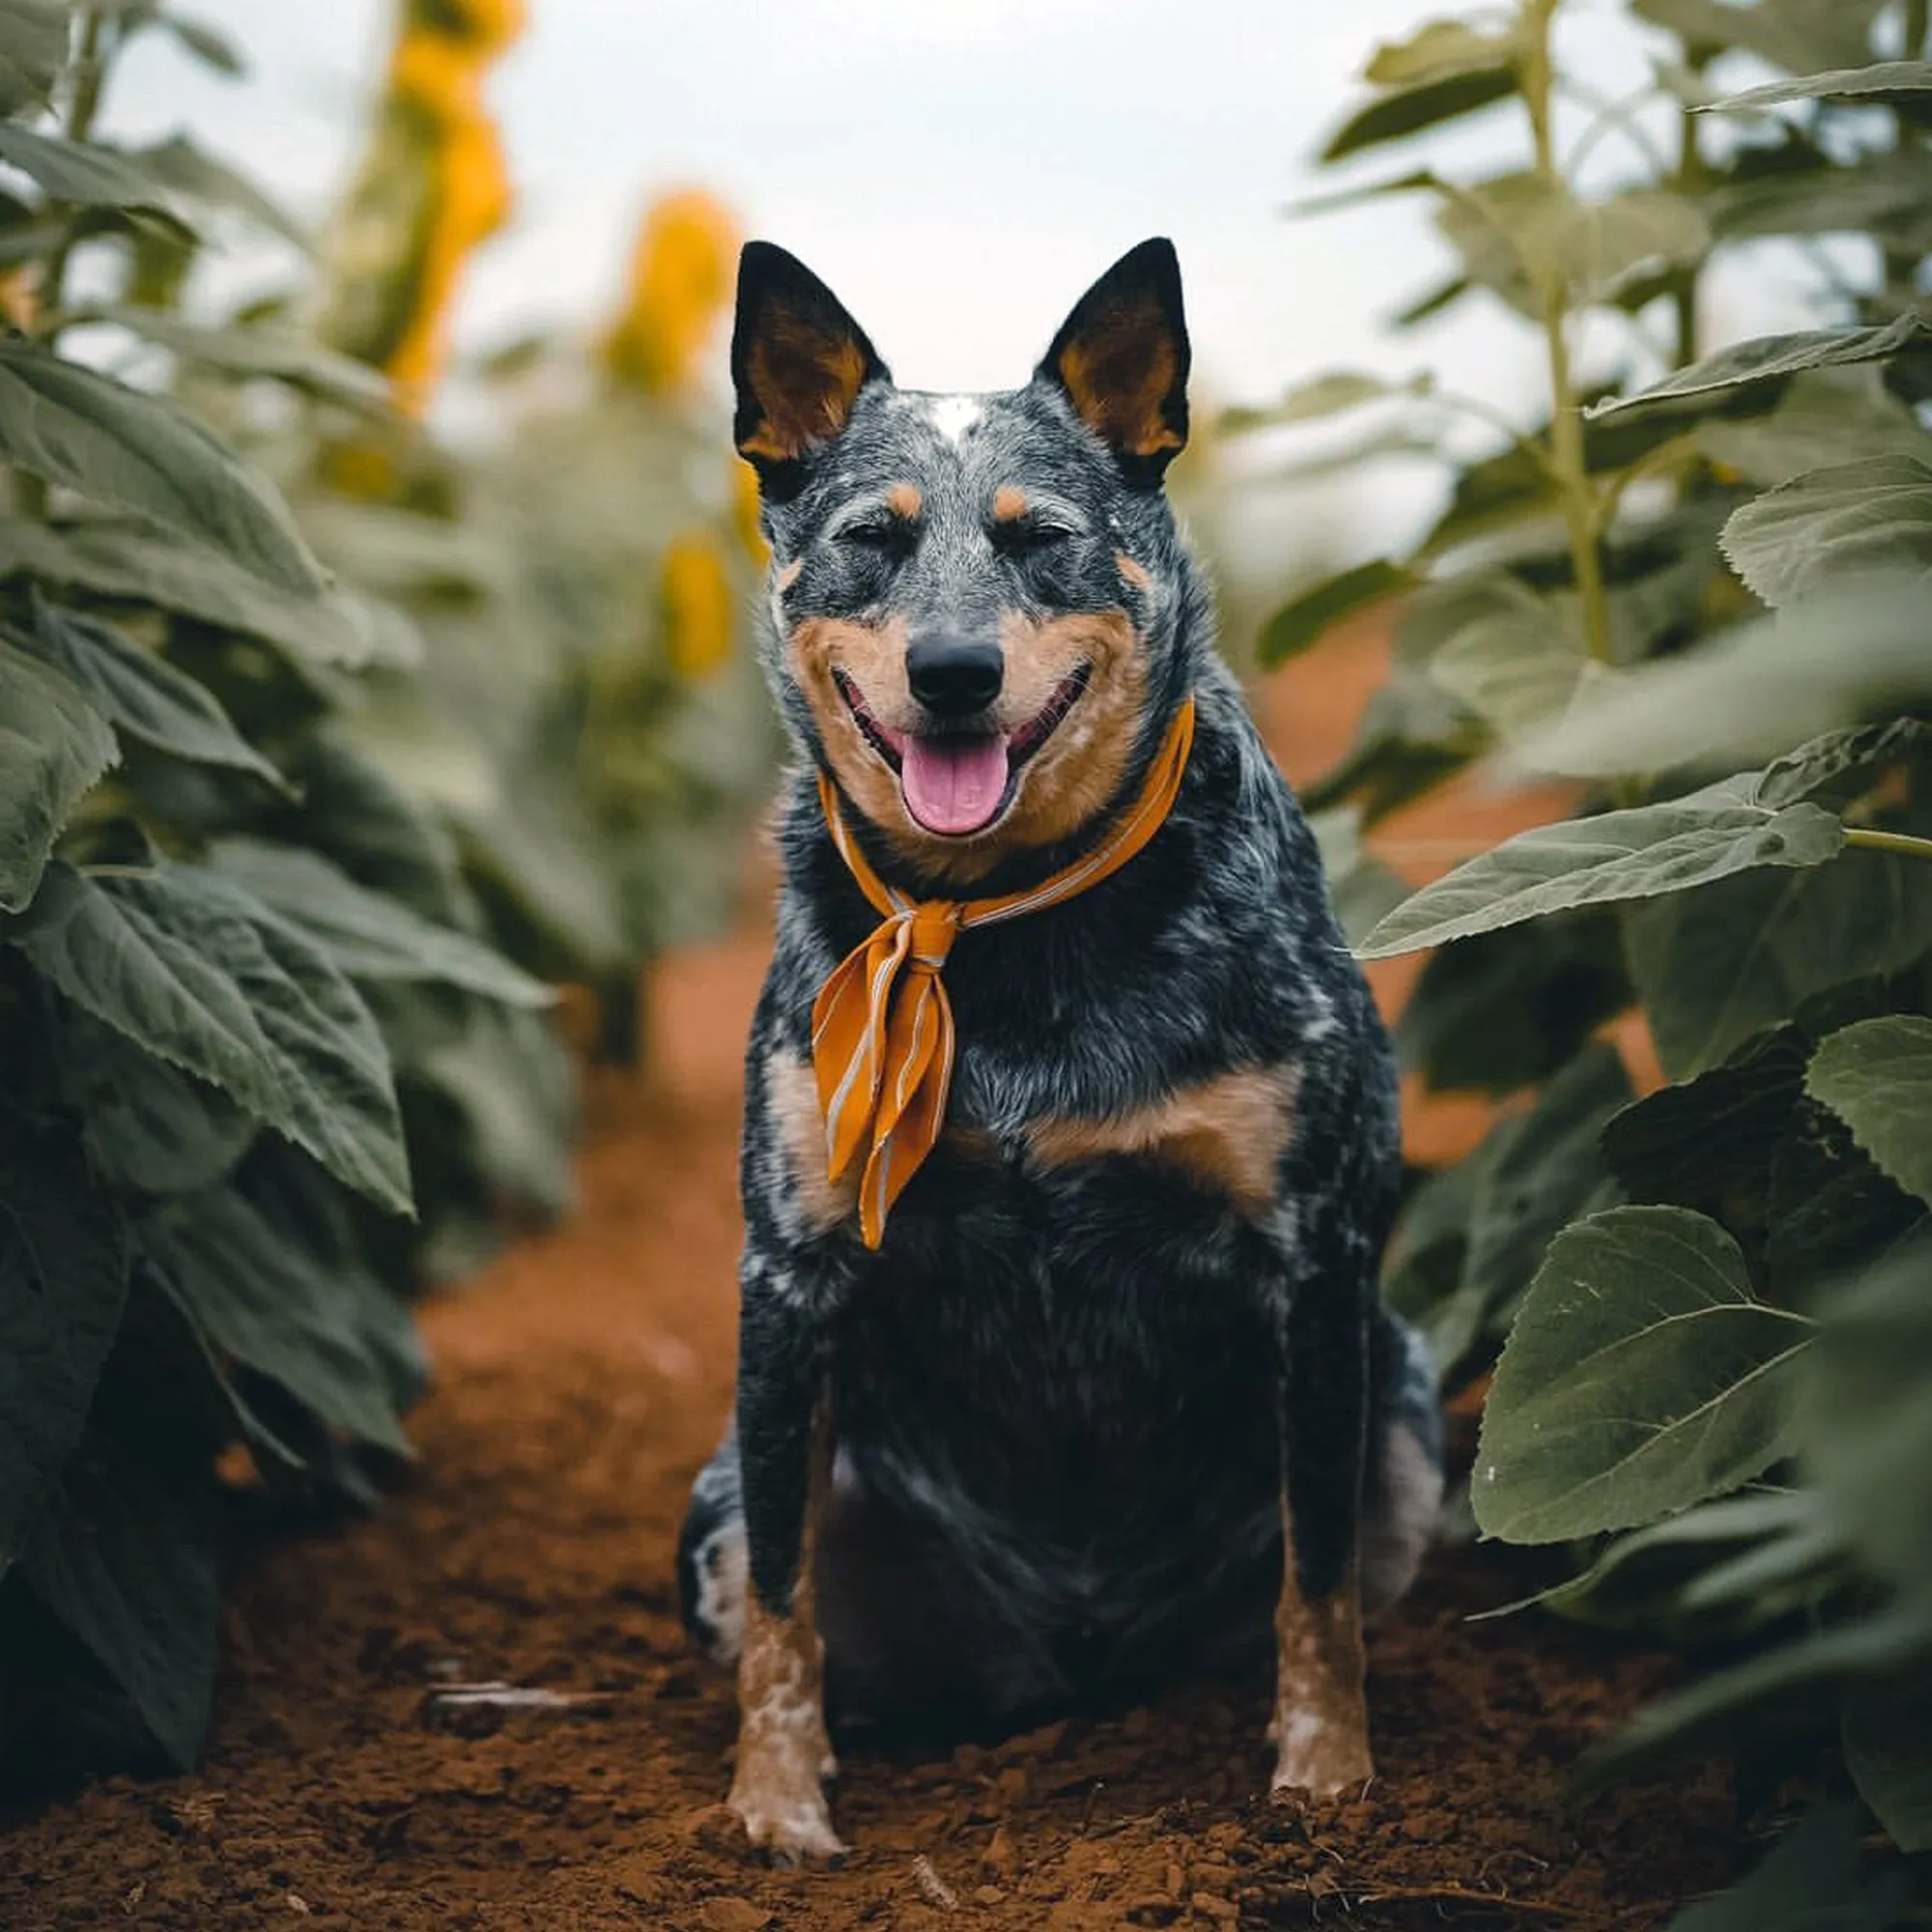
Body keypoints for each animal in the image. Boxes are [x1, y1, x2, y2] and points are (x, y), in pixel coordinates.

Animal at [672, 238, 1445, 1855]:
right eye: (872, 540)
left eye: (1042, 542)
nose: (957, 670)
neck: (999, 929)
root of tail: (1079, 1659)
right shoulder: (791, 1274)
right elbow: (781, 1598)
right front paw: (773, 1814)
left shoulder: (1317, 1258)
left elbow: (1321, 1579)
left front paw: (1327, 1786)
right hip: (713, 1494)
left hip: (1406, 1406)